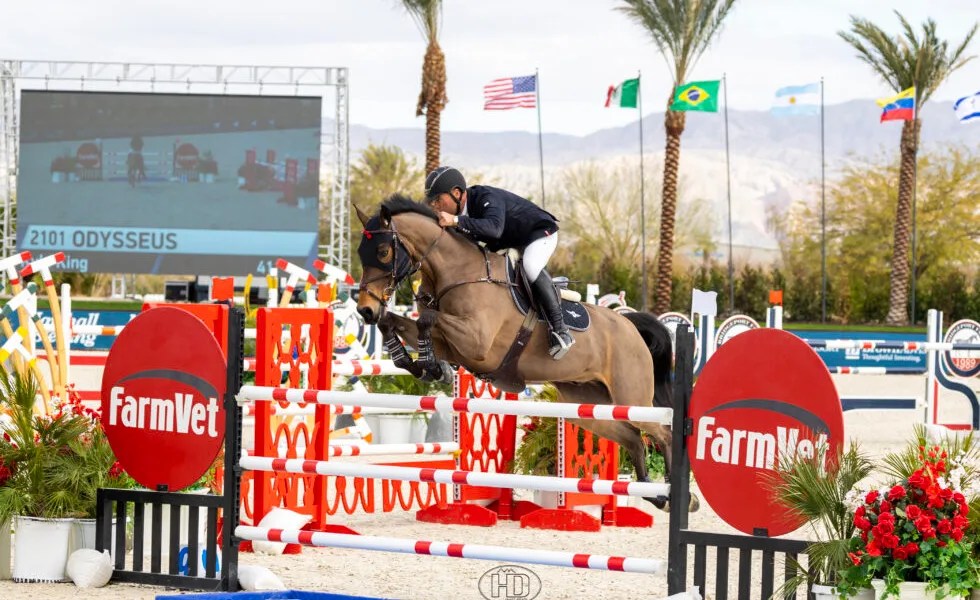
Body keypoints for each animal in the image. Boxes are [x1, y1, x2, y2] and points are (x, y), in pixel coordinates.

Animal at [354, 194, 693, 510]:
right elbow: (396, 322)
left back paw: (682, 498)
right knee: (634, 439)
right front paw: (416, 362)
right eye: (360, 253)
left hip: (632, 398)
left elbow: (426, 319)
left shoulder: (476, 341)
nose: (365, 310)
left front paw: (430, 365)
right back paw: (655, 496)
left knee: (662, 432)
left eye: (383, 252)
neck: (458, 272)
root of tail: (628, 324)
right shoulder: (453, 344)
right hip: (590, 406)